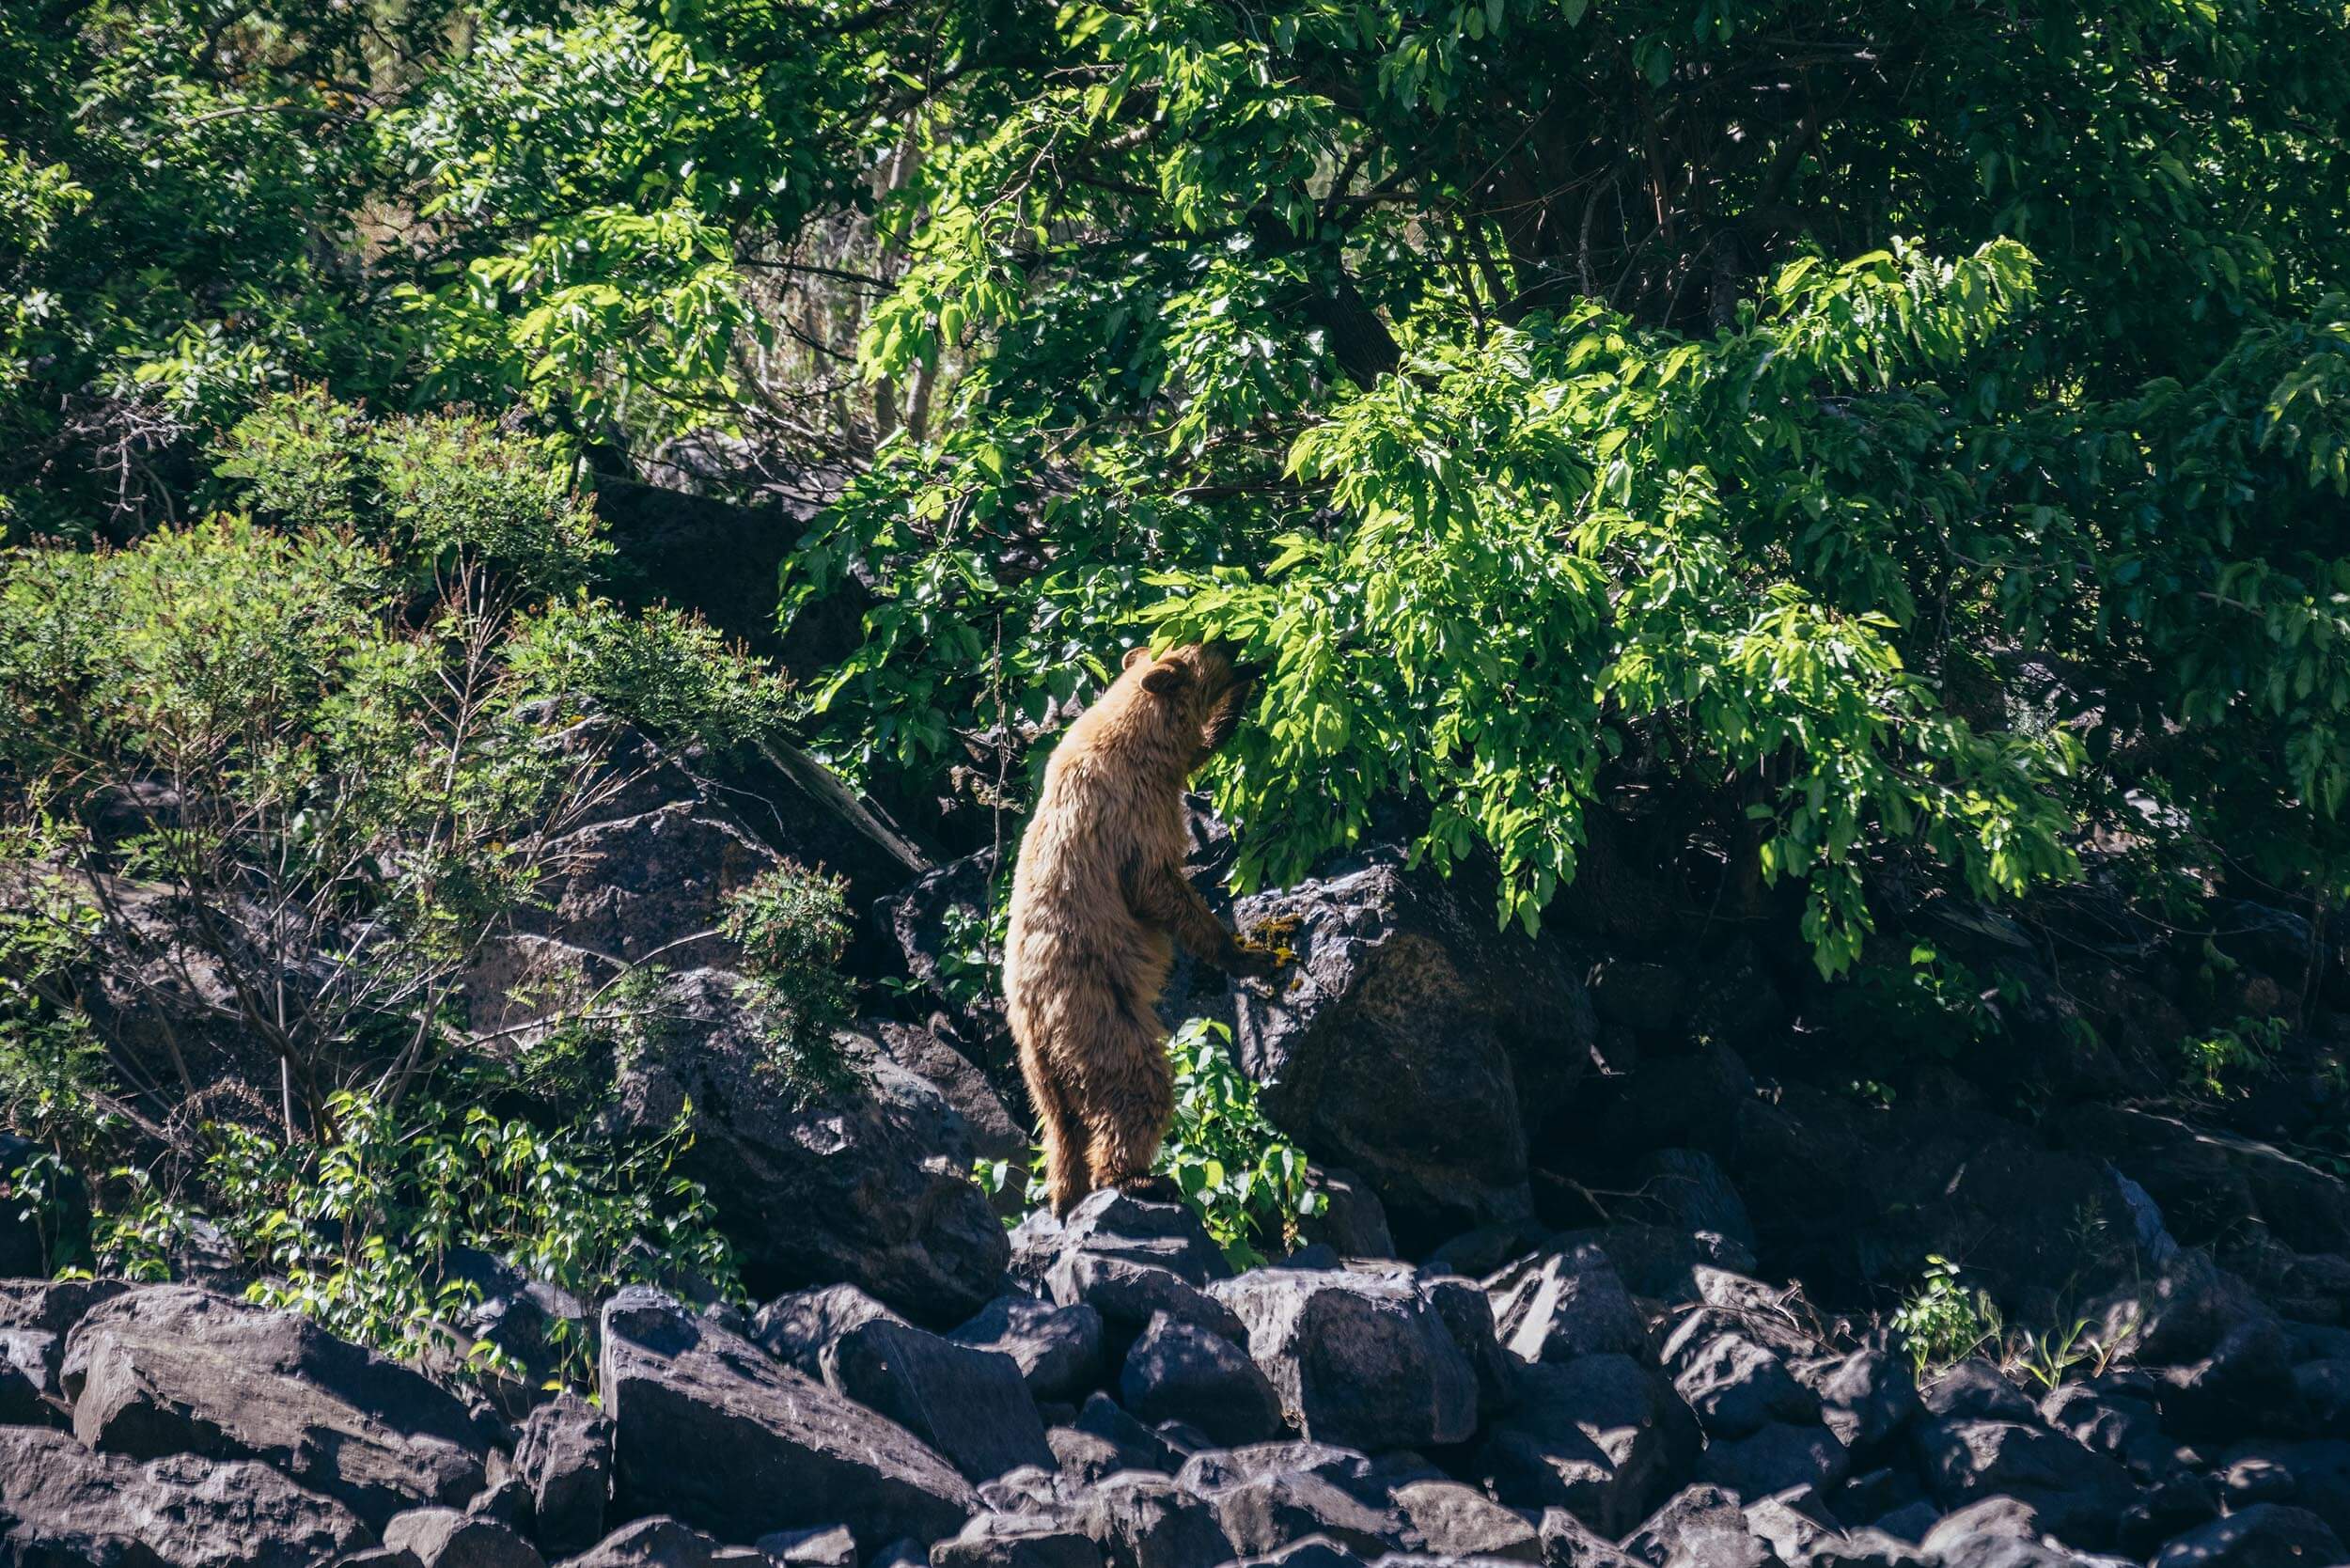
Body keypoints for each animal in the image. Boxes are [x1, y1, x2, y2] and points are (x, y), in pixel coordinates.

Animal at [1001, 639, 1278, 1213]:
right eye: (1214, 647)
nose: (1241, 645)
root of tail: (1035, 1026)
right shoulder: (1129, 815)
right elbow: (1158, 885)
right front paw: (1247, 953)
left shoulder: (1162, 772)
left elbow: (1198, 748)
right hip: (1100, 1018)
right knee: (1137, 1087)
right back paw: (1138, 1178)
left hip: (1037, 1072)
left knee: (1060, 1129)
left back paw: (1065, 1194)